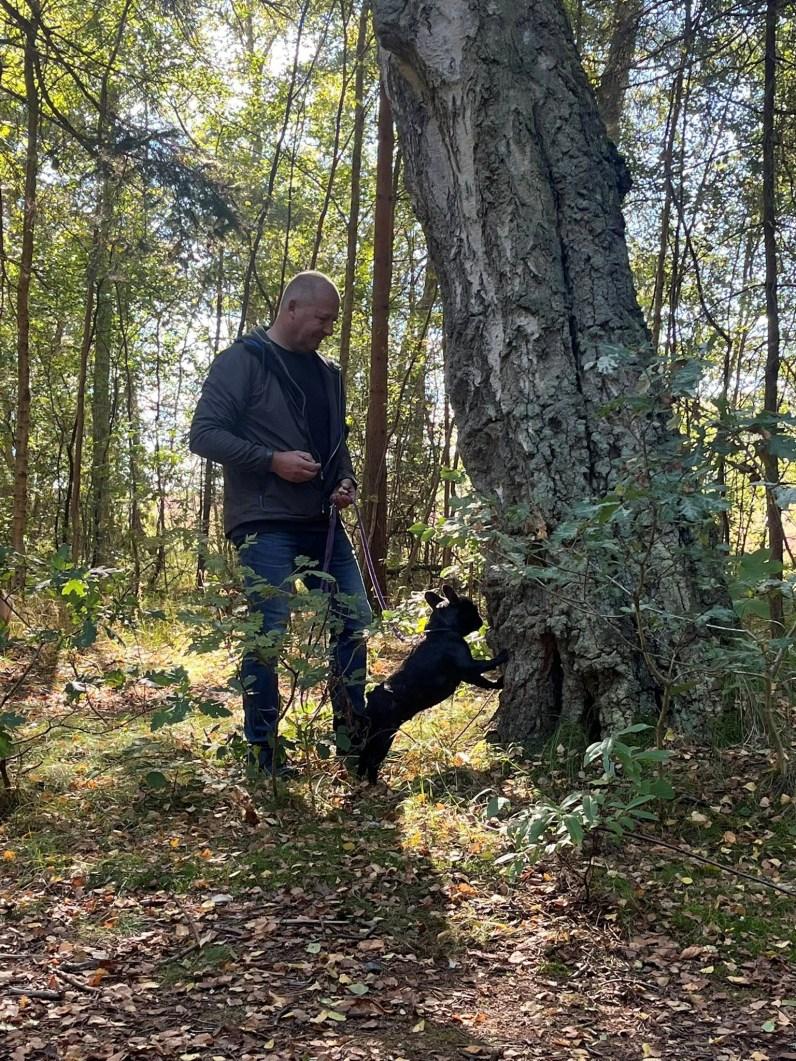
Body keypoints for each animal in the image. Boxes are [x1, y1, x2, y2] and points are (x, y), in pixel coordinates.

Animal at [356, 585, 507, 783]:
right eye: (472, 609)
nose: (481, 620)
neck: (442, 630)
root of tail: (371, 701)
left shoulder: (468, 674)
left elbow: (484, 682)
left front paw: (498, 684)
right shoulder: (467, 666)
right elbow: (485, 665)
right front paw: (502, 657)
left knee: (364, 756)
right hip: (384, 736)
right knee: (372, 759)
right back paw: (376, 782)